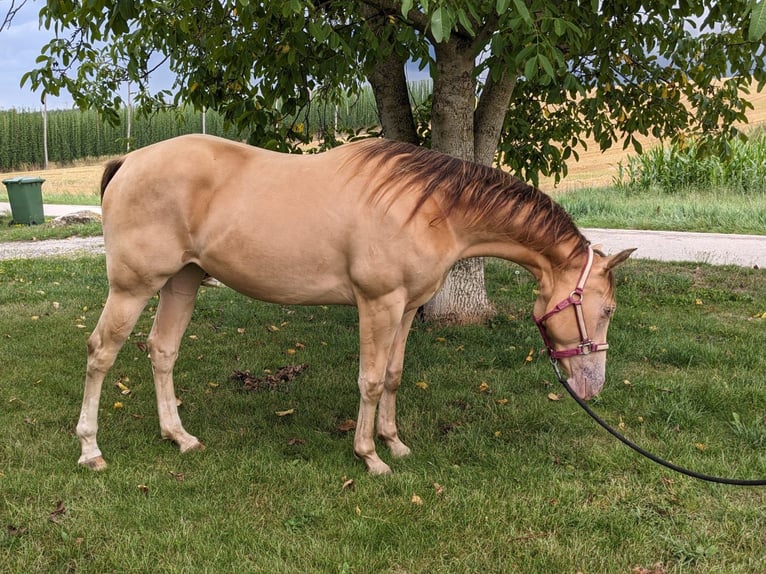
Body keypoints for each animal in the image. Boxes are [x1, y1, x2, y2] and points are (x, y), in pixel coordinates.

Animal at [76, 136, 636, 476]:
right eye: (607, 310)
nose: (593, 387)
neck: (431, 209)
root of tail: (129, 161)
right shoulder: (378, 304)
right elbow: (368, 379)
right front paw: (370, 457)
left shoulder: (406, 309)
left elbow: (392, 375)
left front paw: (394, 443)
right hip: (132, 288)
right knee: (101, 353)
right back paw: (91, 449)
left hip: (182, 283)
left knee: (162, 351)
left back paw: (179, 437)